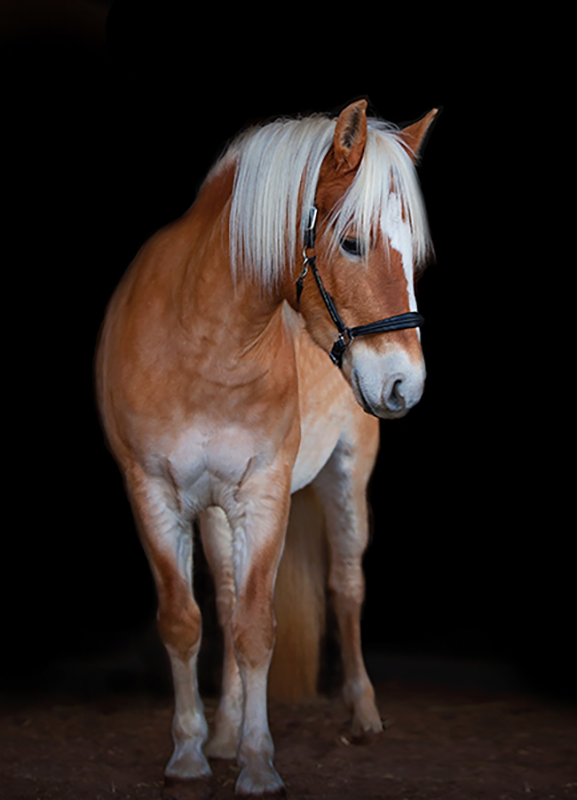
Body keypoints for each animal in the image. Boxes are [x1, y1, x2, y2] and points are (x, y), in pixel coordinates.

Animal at [95, 100, 436, 792]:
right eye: (351, 241)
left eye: (413, 253)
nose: (404, 384)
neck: (202, 340)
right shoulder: (154, 493)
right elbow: (188, 621)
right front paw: (192, 753)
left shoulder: (264, 491)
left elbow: (258, 628)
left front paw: (257, 764)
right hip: (215, 510)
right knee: (225, 605)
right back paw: (223, 730)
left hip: (345, 477)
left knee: (346, 586)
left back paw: (362, 713)